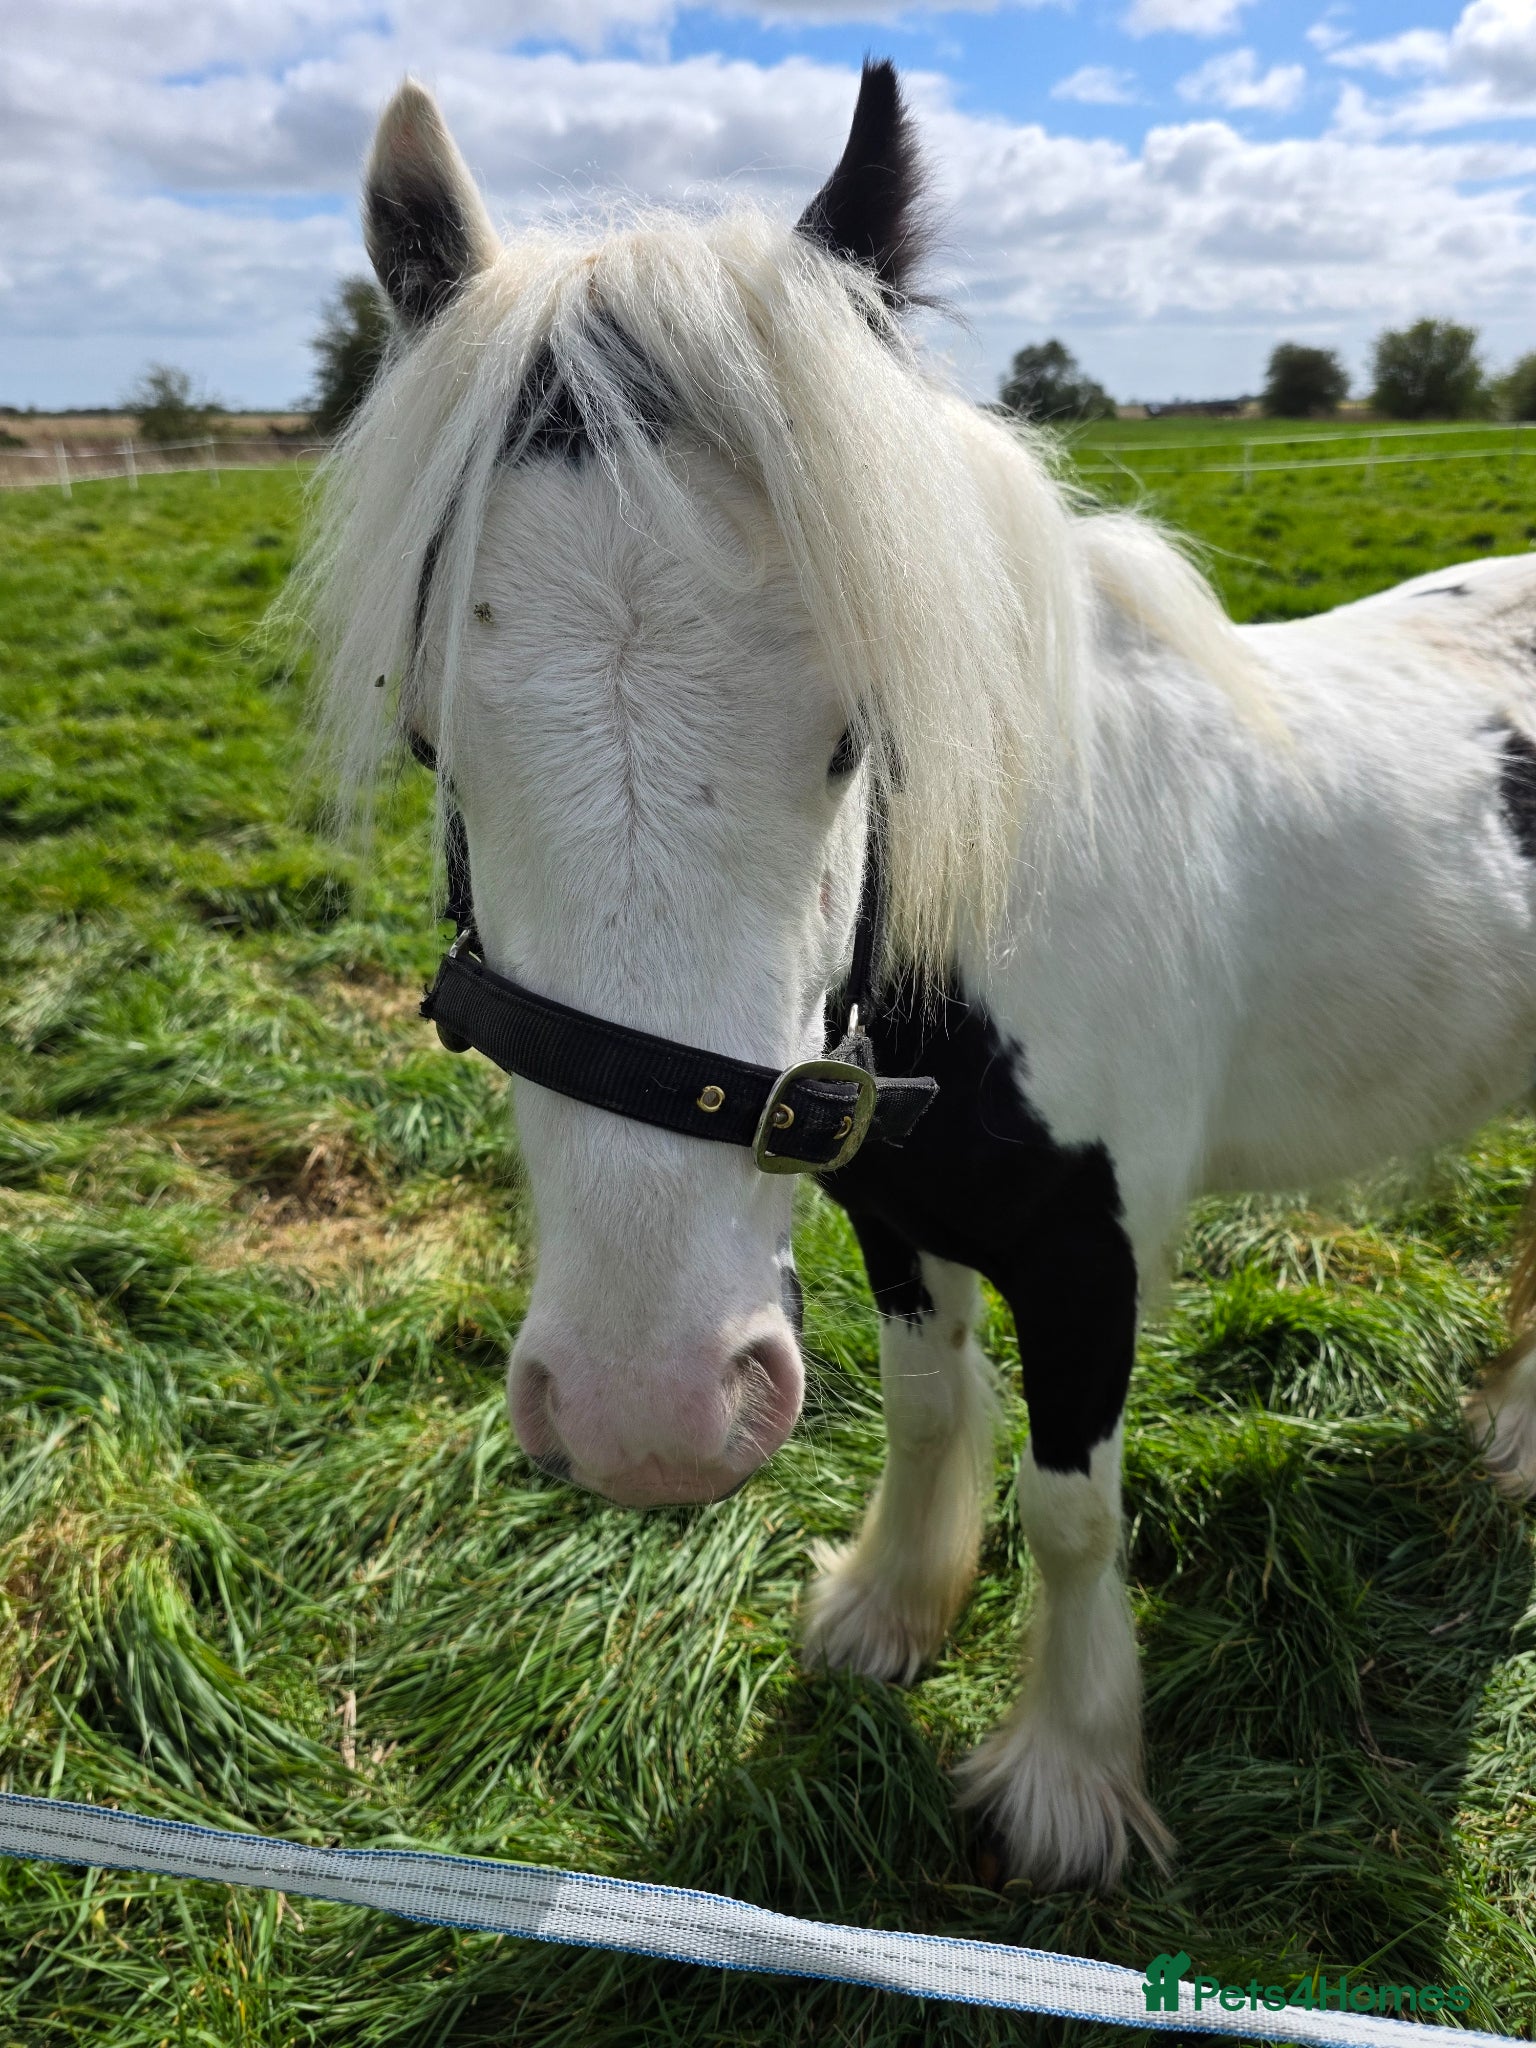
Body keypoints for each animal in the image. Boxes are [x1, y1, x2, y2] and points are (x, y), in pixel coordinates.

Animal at [303, 60, 1536, 1890]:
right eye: (431, 737)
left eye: (858, 735)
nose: (645, 1414)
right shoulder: (888, 1210)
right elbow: (926, 1408)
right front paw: (887, 1612)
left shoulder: (1096, 1257)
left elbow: (1072, 1506)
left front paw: (1068, 1780)